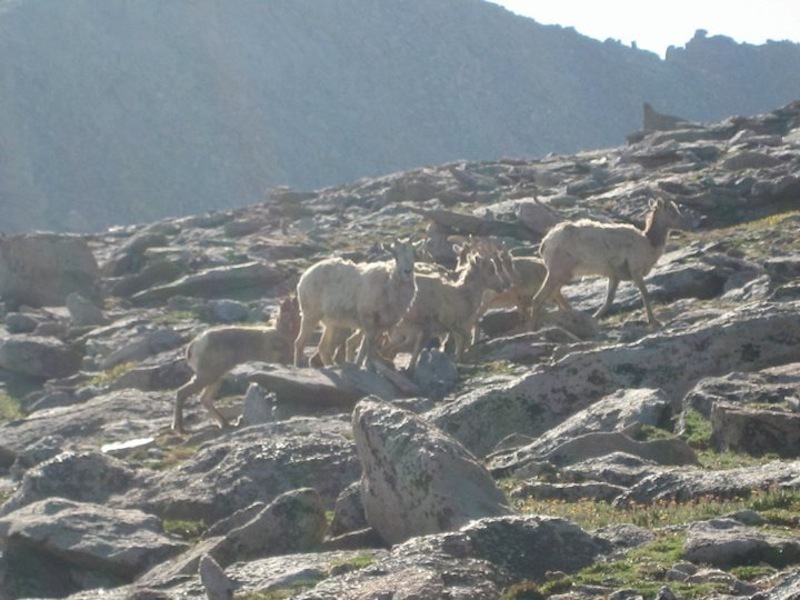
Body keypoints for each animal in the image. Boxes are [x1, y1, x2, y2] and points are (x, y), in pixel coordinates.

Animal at [172, 296, 300, 434]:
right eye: (283, 311)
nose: (288, 323)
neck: (281, 336)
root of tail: (194, 345)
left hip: (215, 379)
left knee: (204, 399)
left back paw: (225, 424)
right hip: (207, 376)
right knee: (182, 392)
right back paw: (181, 429)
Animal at [532, 199, 688, 326]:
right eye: (672, 211)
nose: (686, 223)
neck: (649, 242)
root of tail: (545, 243)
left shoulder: (614, 276)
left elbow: (609, 300)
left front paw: (594, 318)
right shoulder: (635, 271)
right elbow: (645, 294)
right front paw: (654, 321)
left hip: (562, 274)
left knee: (554, 294)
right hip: (558, 272)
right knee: (538, 298)